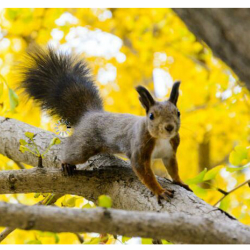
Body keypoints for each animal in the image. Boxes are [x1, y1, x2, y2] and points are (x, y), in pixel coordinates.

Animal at [19, 46, 191, 202]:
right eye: (151, 116)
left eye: (178, 113)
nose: (169, 127)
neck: (161, 139)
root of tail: (90, 114)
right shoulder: (139, 148)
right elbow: (144, 173)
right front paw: (159, 191)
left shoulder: (170, 151)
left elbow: (173, 168)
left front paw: (180, 182)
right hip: (83, 145)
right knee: (72, 152)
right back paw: (66, 164)